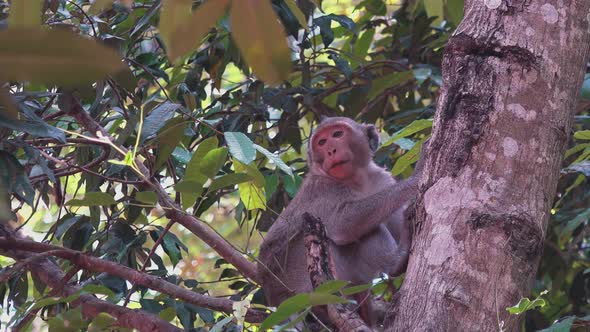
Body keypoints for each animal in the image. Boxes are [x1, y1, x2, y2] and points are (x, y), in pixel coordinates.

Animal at [256, 117, 428, 316]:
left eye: (337, 134)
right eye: (322, 142)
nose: (331, 150)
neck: (357, 181)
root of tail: (276, 300)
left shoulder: (381, 180)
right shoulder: (323, 190)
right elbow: (342, 224)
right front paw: (416, 177)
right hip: (304, 285)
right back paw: (396, 262)